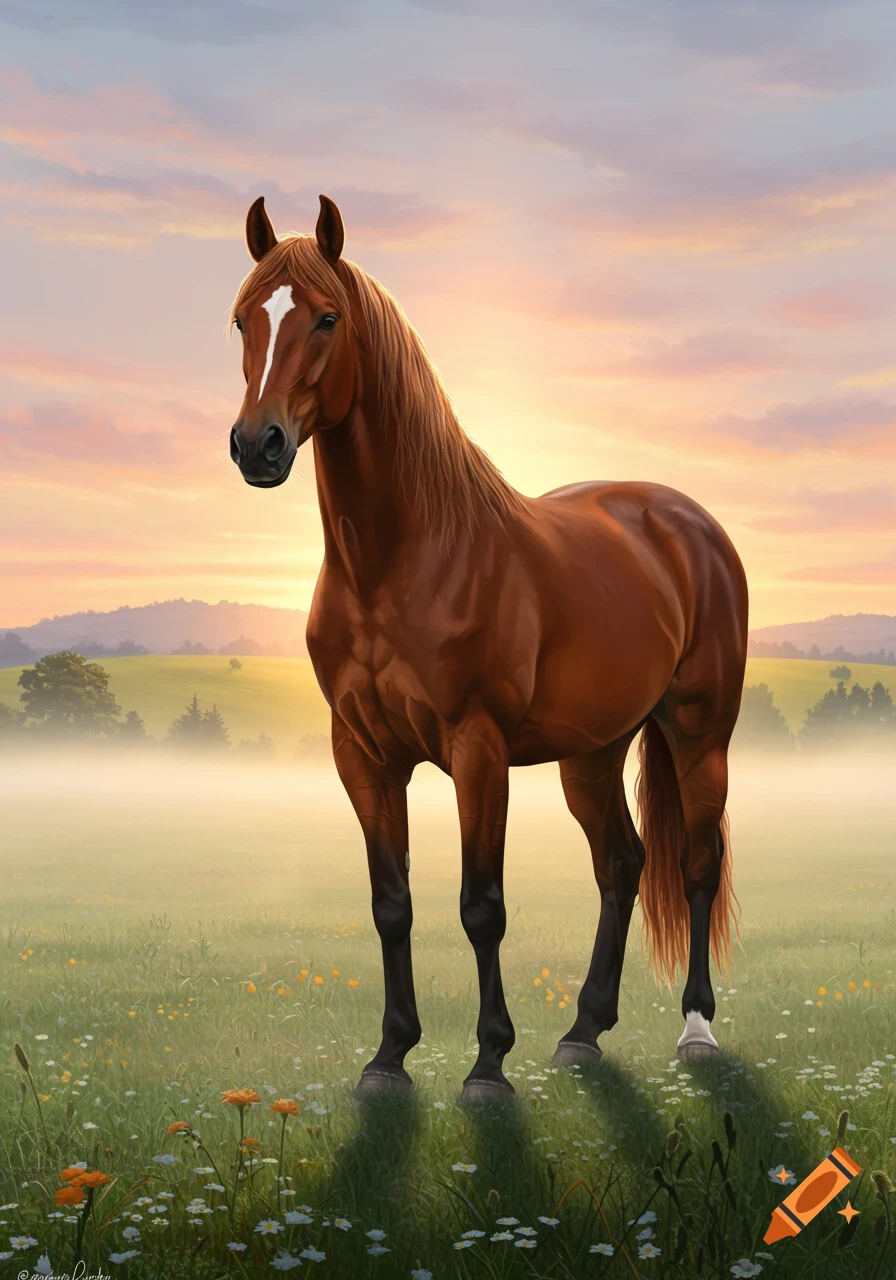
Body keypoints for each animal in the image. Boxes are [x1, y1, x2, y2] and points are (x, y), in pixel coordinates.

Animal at [227, 194, 748, 1101]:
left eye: (326, 317)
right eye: (241, 321)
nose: (258, 445)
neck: (398, 562)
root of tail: (687, 521)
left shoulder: (477, 749)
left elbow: (482, 905)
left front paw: (489, 1066)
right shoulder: (361, 754)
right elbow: (391, 903)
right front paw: (389, 1057)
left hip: (698, 733)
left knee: (695, 862)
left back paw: (695, 1031)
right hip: (593, 751)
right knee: (622, 864)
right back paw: (582, 1032)